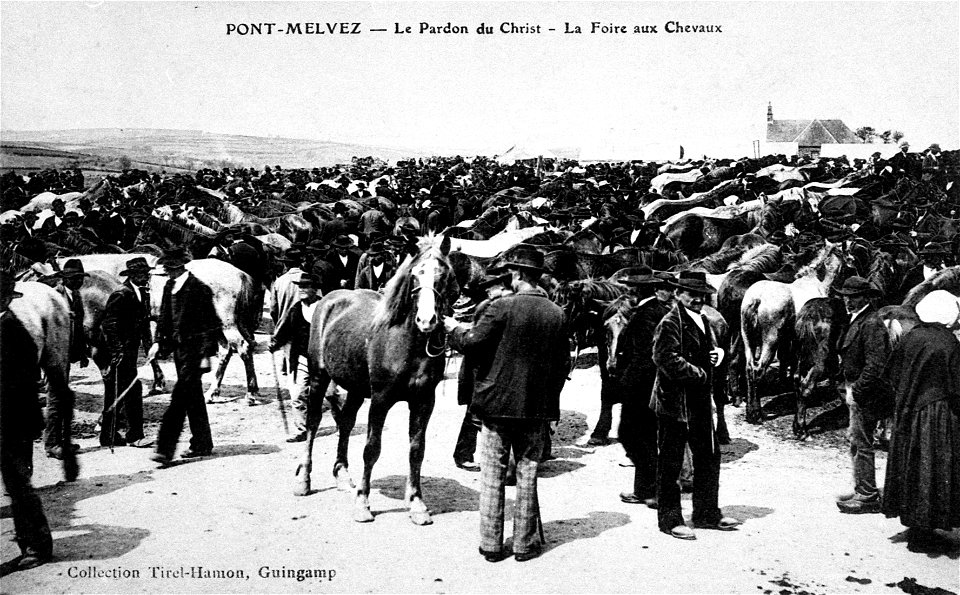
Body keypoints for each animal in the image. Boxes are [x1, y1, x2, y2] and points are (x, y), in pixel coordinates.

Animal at [298, 236, 460, 528]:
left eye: (443, 274)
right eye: (415, 274)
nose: (427, 320)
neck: (408, 344)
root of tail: (329, 299)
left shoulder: (423, 401)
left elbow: (417, 450)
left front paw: (417, 504)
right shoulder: (381, 400)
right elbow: (371, 449)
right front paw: (363, 503)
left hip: (355, 388)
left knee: (346, 422)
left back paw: (342, 475)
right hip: (318, 377)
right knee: (313, 423)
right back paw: (304, 481)